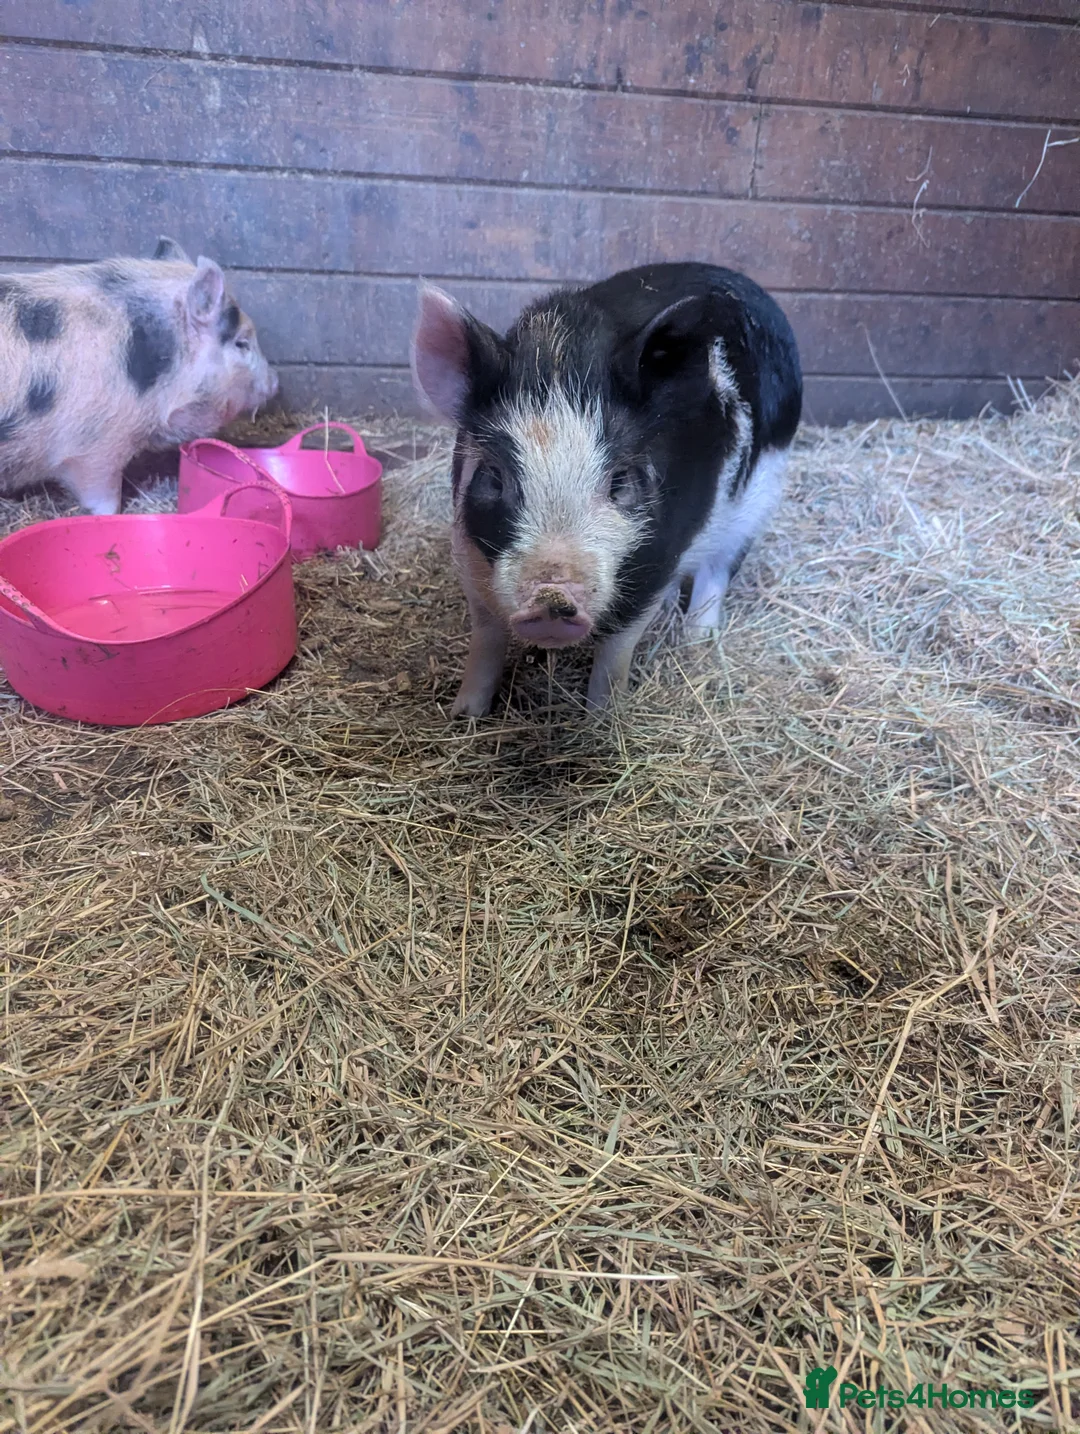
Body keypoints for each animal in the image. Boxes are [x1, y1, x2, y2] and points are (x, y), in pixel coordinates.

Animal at [410, 261, 802, 715]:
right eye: (493, 474)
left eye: (620, 481)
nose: (551, 596)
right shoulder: (470, 553)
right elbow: (486, 638)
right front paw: (464, 715)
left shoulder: (659, 558)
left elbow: (616, 652)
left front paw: (603, 718)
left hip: (757, 503)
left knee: (716, 572)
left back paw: (696, 641)